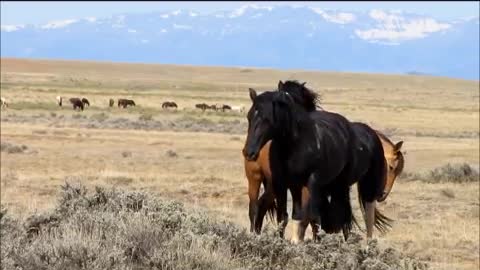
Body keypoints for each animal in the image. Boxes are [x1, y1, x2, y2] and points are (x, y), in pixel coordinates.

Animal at [244, 130, 404, 239]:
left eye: (399, 172)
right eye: (391, 167)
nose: (382, 195)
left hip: (273, 187)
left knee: (264, 206)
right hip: (255, 178)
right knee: (254, 207)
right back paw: (253, 235)